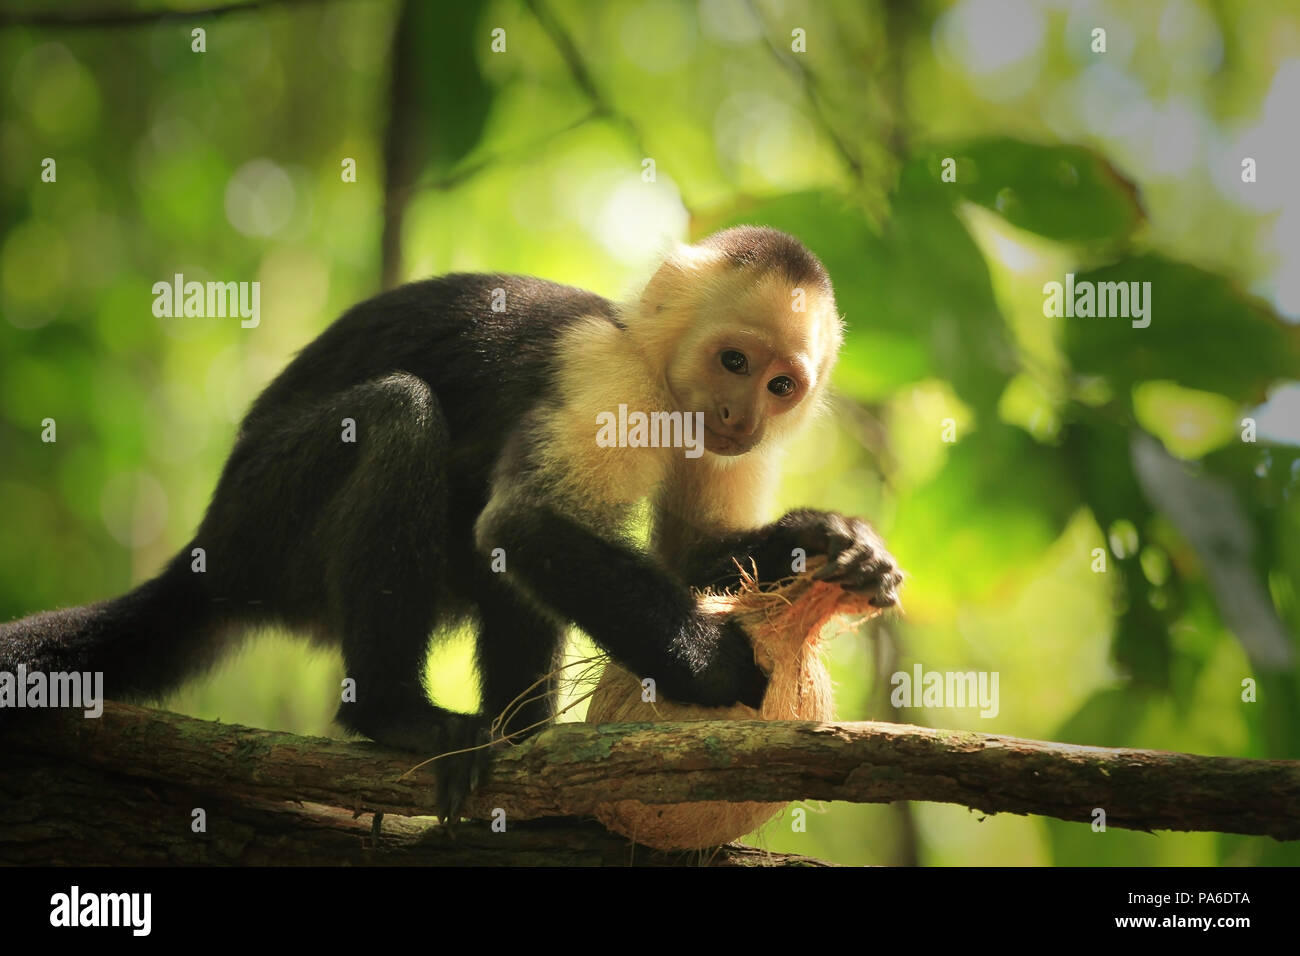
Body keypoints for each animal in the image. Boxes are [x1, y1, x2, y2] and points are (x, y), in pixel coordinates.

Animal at [0, 226, 902, 821]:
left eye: (781, 385)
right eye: (733, 361)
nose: (743, 417)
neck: (660, 372)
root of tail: (208, 548)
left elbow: (696, 556)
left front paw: (838, 545)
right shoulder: (608, 376)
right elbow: (525, 524)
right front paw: (725, 668)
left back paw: (524, 745)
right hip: (266, 521)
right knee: (401, 421)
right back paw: (395, 714)